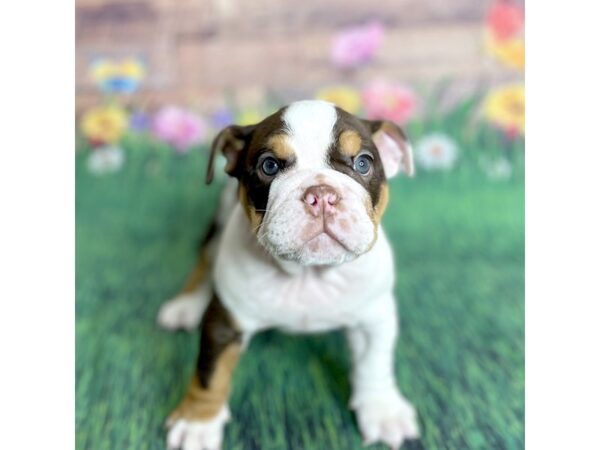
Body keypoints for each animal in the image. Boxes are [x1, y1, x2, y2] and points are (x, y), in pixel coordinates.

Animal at [159, 99, 422, 450]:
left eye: (363, 163)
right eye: (269, 166)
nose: (322, 193)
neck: (307, 274)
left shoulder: (374, 318)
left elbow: (374, 363)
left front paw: (382, 410)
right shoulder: (225, 322)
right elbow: (210, 373)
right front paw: (197, 422)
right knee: (204, 259)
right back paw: (186, 305)